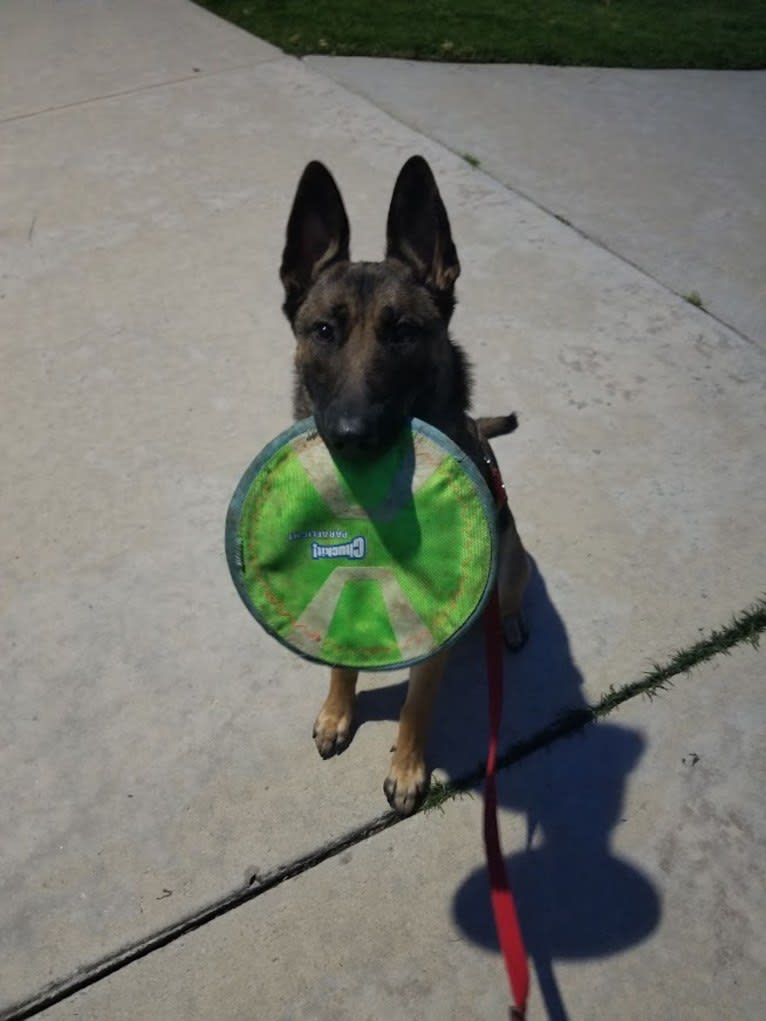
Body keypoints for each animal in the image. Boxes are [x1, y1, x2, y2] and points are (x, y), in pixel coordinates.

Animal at [281, 155, 535, 816]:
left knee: (509, 594)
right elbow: (341, 665)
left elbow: (416, 705)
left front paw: (408, 768)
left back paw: (509, 622)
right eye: (324, 330)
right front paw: (337, 713)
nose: (351, 435)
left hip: (516, 557)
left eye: (403, 333)